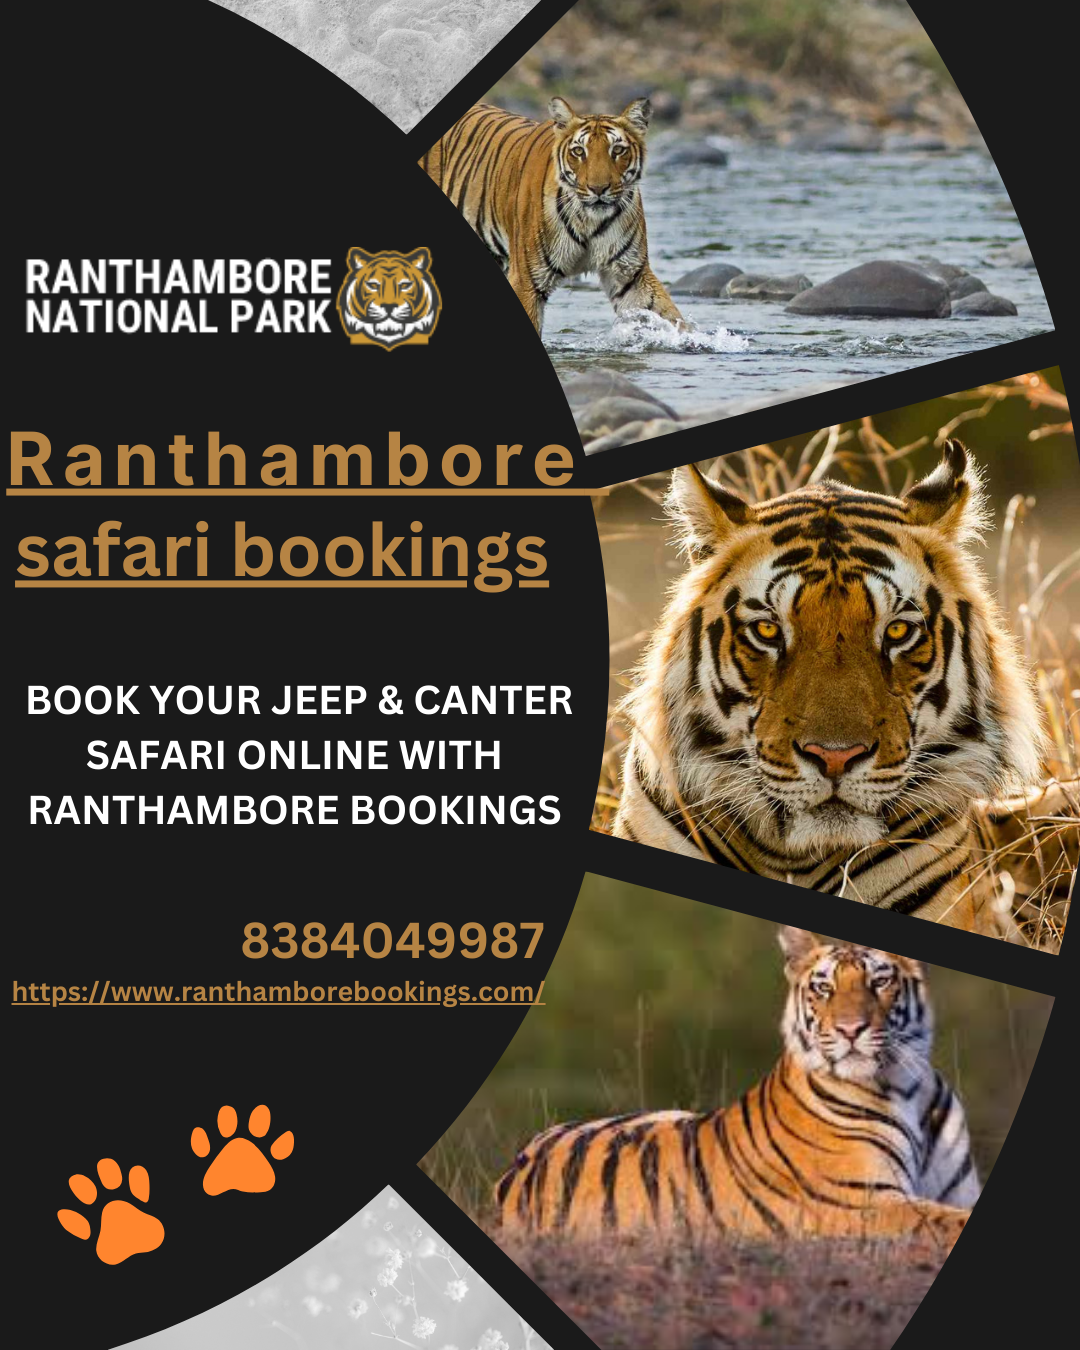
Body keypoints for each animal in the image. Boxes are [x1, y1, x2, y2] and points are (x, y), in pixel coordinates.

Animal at [420, 97, 684, 335]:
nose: (598, 189)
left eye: (617, 150)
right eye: (579, 151)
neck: (589, 221)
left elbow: (669, 316)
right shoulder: (527, 281)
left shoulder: (630, 274)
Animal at [496, 926, 979, 1245]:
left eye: (880, 981)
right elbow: (947, 1221)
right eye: (823, 988)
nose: (850, 1029)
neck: (906, 1086)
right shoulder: (863, 1201)